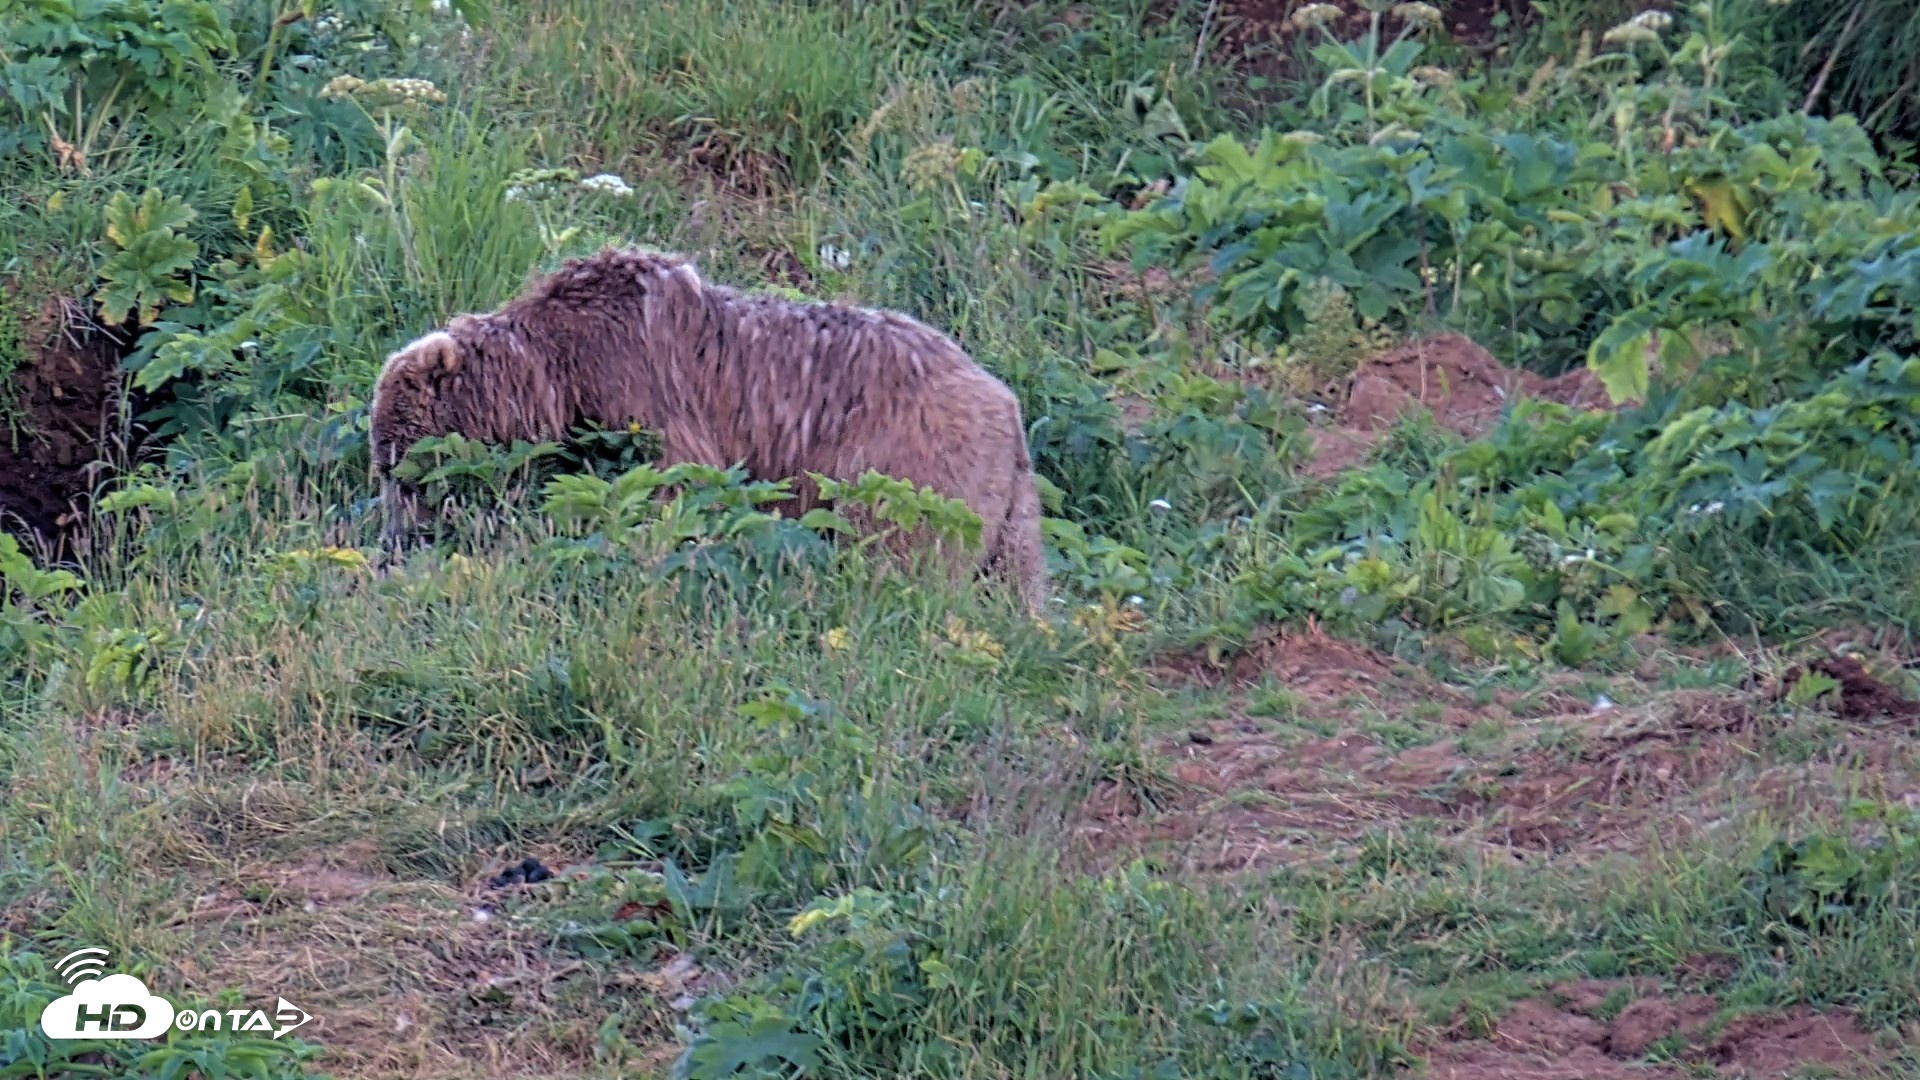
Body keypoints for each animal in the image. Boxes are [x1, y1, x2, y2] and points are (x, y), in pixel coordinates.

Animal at [367, 245, 1050, 613]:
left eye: (400, 466)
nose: (396, 539)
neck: (557, 374)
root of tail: (1005, 403)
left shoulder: (642, 383)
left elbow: (673, 486)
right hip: (1007, 505)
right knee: (1017, 580)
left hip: (910, 469)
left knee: (902, 556)